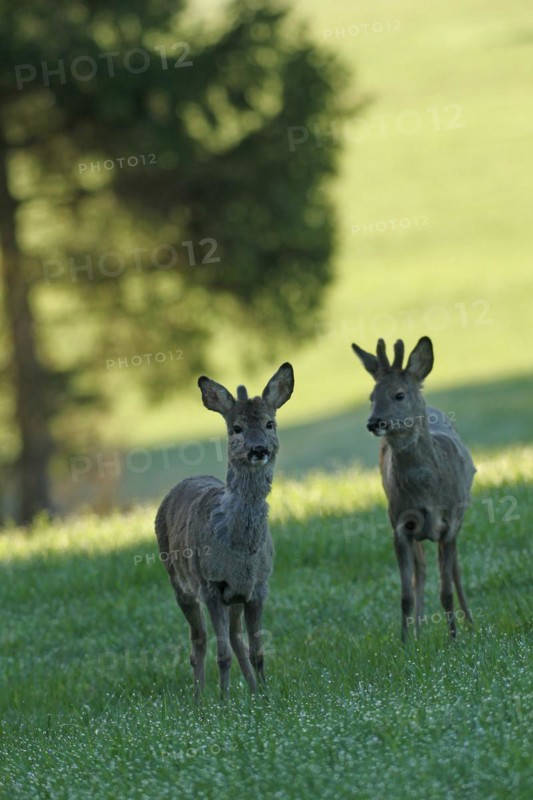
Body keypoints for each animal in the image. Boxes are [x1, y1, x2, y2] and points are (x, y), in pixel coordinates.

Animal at [155, 363, 294, 697]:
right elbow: (222, 654)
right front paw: (224, 701)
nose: (258, 449)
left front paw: (265, 695)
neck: (239, 546)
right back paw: (199, 700)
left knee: (235, 638)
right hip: (178, 581)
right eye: (236, 428)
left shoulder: (258, 585)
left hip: (236, 597)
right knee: (198, 642)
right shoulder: (211, 585)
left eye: (270, 423)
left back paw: (252, 691)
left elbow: (257, 649)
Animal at [351, 336, 475, 640]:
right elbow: (405, 595)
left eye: (398, 394)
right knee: (422, 569)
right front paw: (406, 643)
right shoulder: (399, 525)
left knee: (455, 569)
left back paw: (469, 622)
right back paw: (419, 630)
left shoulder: (449, 523)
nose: (374, 422)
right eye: (371, 397)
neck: (427, 494)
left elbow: (446, 591)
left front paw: (454, 639)